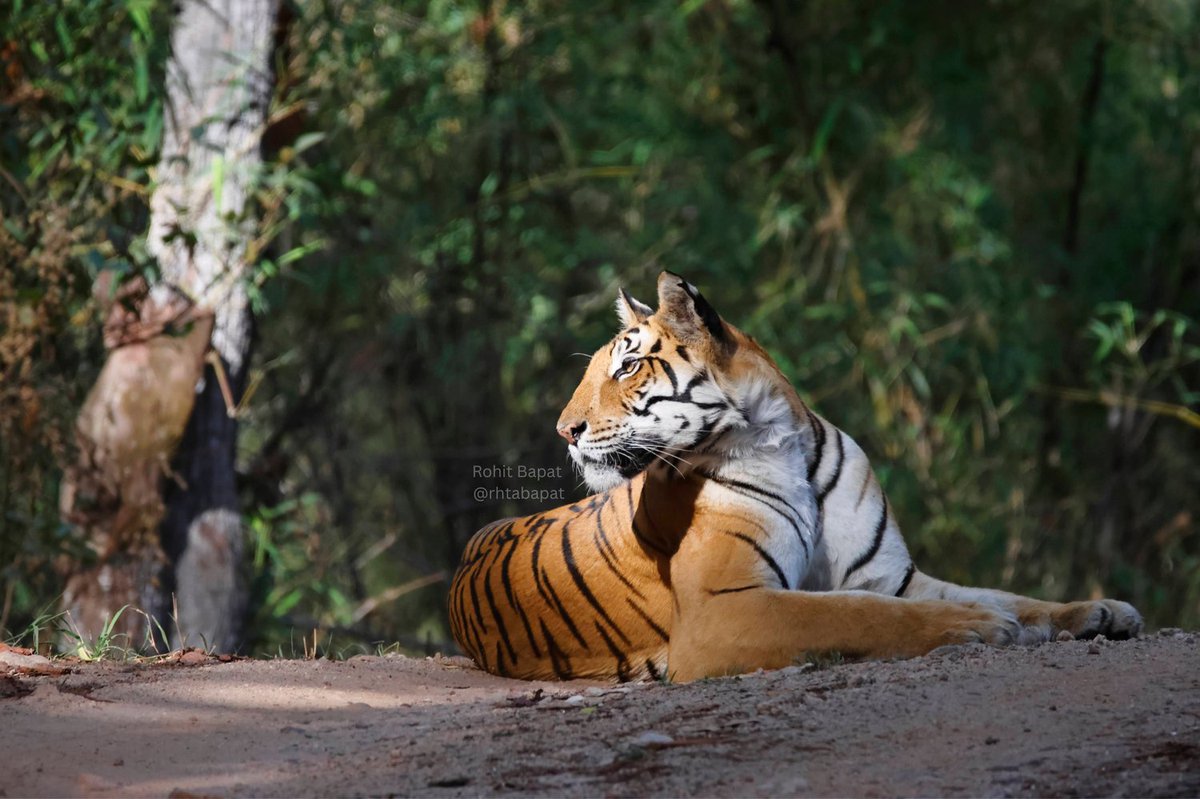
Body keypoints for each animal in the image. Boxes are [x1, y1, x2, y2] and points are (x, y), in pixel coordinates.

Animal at [446, 272, 1137, 676]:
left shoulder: (894, 577)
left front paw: (1099, 611)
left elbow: (1004, 593)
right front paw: (975, 628)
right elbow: (853, 614)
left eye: (627, 367)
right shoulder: (724, 609)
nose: (564, 430)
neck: (776, 439)